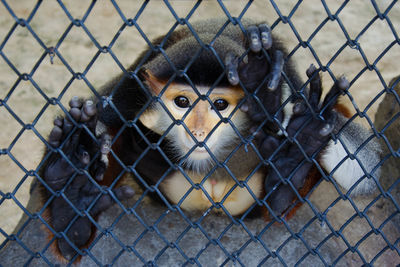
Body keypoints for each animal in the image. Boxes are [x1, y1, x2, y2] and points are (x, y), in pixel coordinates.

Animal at [38, 18, 382, 262]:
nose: (199, 131)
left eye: (219, 105)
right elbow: (107, 123)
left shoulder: (289, 76)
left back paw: (292, 166)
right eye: (182, 102)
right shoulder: (135, 84)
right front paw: (70, 194)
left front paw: (264, 92)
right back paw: (72, 206)